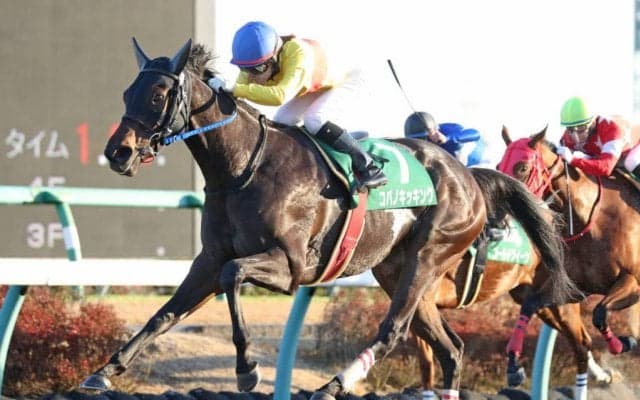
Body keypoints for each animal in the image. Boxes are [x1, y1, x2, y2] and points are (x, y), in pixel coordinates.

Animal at [79, 39, 575, 400]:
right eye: (127, 93)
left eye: (159, 94)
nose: (118, 152)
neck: (243, 168)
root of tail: (468, 175)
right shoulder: (209, 258)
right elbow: (164, 313)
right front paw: (103, 371)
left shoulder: (292, 265)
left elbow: (232, 275)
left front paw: (247, 370)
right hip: (395, 270)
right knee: (450, 348)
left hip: (429, 257)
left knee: (394, 330)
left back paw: (331, 385)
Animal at [497, 125, 640, 398]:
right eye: (500, 165)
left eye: (522, 167)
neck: (590, 219)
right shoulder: (573, 289)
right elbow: (530, 304)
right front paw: (513, 367)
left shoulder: (634, 281)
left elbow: (599, 313)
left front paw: (624, 342)